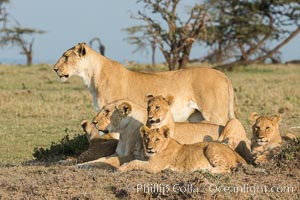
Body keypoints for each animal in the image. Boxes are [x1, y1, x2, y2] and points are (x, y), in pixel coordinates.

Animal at [55, 42, 236, 125]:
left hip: (215, 114)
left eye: (66, 57)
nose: (55, 68)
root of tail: (224, 75)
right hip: (197, 116)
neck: (90, 76)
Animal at [118, 126, 247, 173]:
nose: (149, 148)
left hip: (211, 147)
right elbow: (136, 160)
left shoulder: (154, 167)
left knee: (227, 169)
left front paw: (122, 168)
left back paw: (208, 170)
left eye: (157, 139)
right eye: (147, 139)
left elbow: (135, 162)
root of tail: (234, 152)